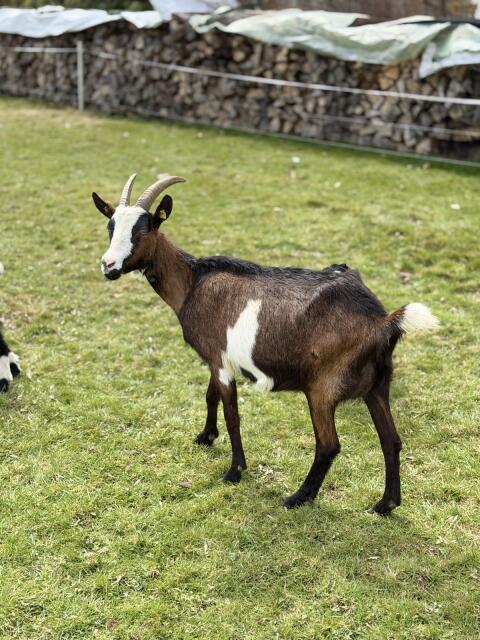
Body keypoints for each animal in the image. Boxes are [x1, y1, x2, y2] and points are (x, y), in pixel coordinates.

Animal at [92, 175, 439, 513]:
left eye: (141, 230)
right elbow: (210, 397)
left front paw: (234, 471)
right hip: (378, 385)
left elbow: (231, 413)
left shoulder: (220, 361)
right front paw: (206, 436)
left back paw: (299, 497)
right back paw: (385, 504)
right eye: (110, 226)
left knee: (329, 444)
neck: (193, 283)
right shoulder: (217, 358)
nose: (108, 265)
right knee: (391, 440)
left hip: (323, 388)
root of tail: (383, 321)